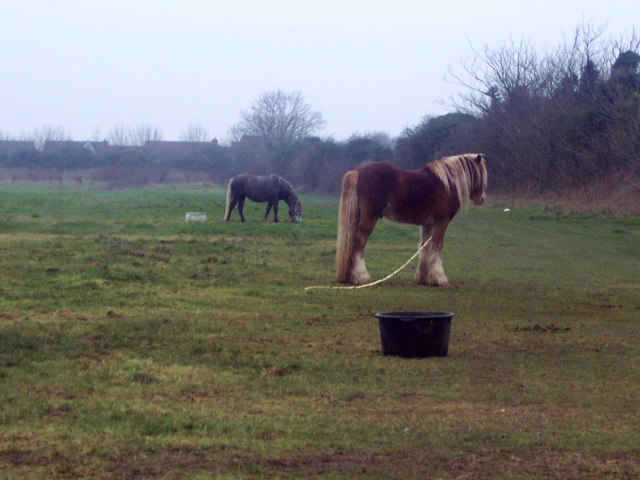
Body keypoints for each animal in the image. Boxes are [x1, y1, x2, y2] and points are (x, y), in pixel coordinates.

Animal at [332, 155, 488, 284]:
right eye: (479, 173)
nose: (481, 199)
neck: (447, 183)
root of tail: (357, 172)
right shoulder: (441, 222)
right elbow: (437, 247)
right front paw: (440, 278)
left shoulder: (428, 225)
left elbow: (425, 248)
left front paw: (425, 279)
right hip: (369, 218)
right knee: (359, 244)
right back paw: (362, 277)